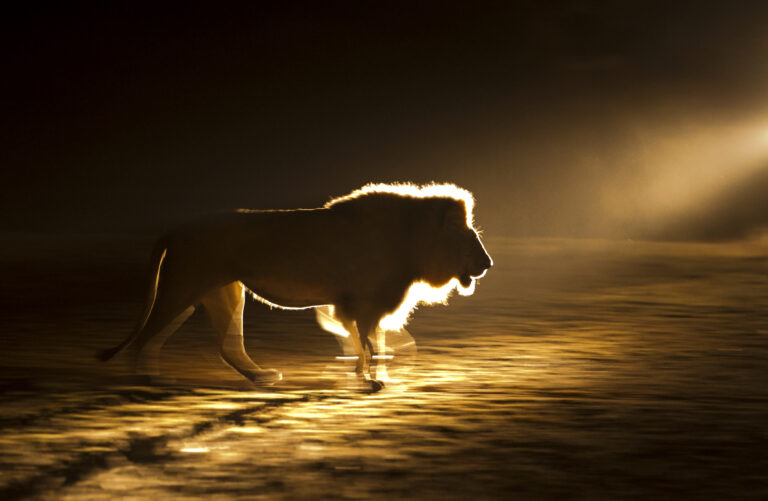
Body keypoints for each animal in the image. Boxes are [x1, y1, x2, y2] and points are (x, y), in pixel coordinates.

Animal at [97, 182, 492, 391]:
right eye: (468, 236)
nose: (487, 264)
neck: (411, 240)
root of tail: (175, 228)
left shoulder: (354, 305)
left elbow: (371, 341)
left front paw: (366, 372)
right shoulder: (364, 303)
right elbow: (369, 341)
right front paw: (370, 378)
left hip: (224, 292)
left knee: (227, 346)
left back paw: (262, 377)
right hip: (182, 289)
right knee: (148, 336)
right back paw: (146, 380)